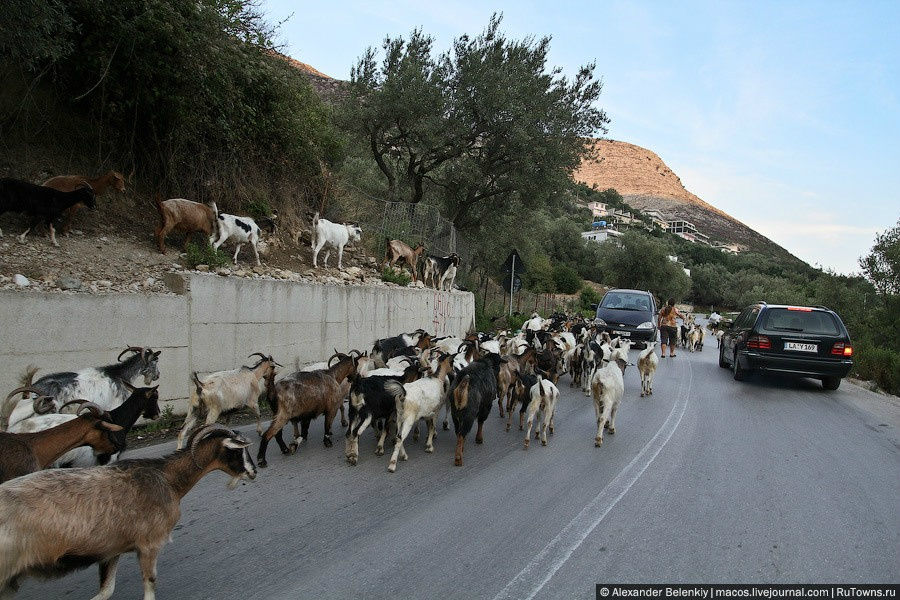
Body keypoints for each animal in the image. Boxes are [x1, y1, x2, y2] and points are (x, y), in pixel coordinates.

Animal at [0, 424, 256, 596]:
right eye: (238, 451)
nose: (253, 472)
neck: (167, 479)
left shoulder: (112, 550)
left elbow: (105, 591)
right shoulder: (149, 544)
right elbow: (150, 583)